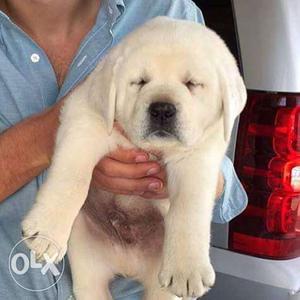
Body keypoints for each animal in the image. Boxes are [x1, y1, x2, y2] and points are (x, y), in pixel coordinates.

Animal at [21, 17, 246, 300]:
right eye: (139, 82)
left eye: (192, 83)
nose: (162, 109)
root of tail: (127, 265)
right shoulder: (85, 119)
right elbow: (72, 179)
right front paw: (47, 232)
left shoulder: (198, 156)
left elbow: (189, 207)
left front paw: (187, 269)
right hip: (88, 263)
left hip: (158, 285)